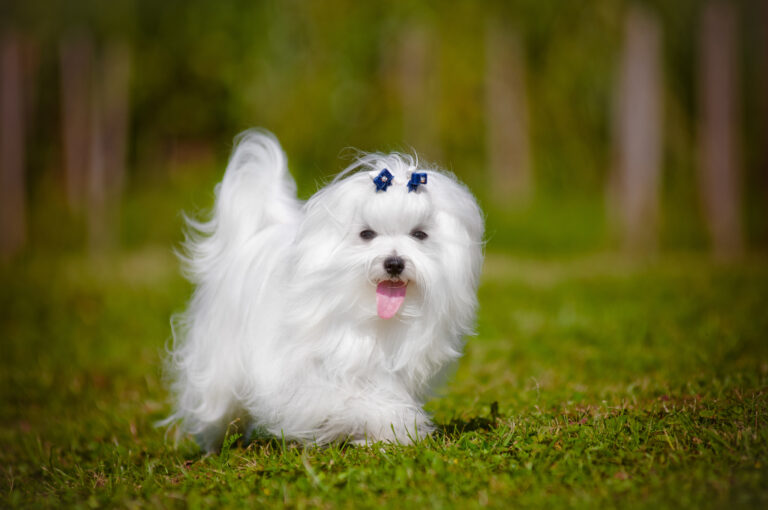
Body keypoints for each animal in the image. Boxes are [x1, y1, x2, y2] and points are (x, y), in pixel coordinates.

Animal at [165, 128, 484, 450]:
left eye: (419, 235)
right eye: (366, 234)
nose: (394, 263)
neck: (370, 313)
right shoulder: (305, 375)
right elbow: (351, 399)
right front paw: (387, 423)